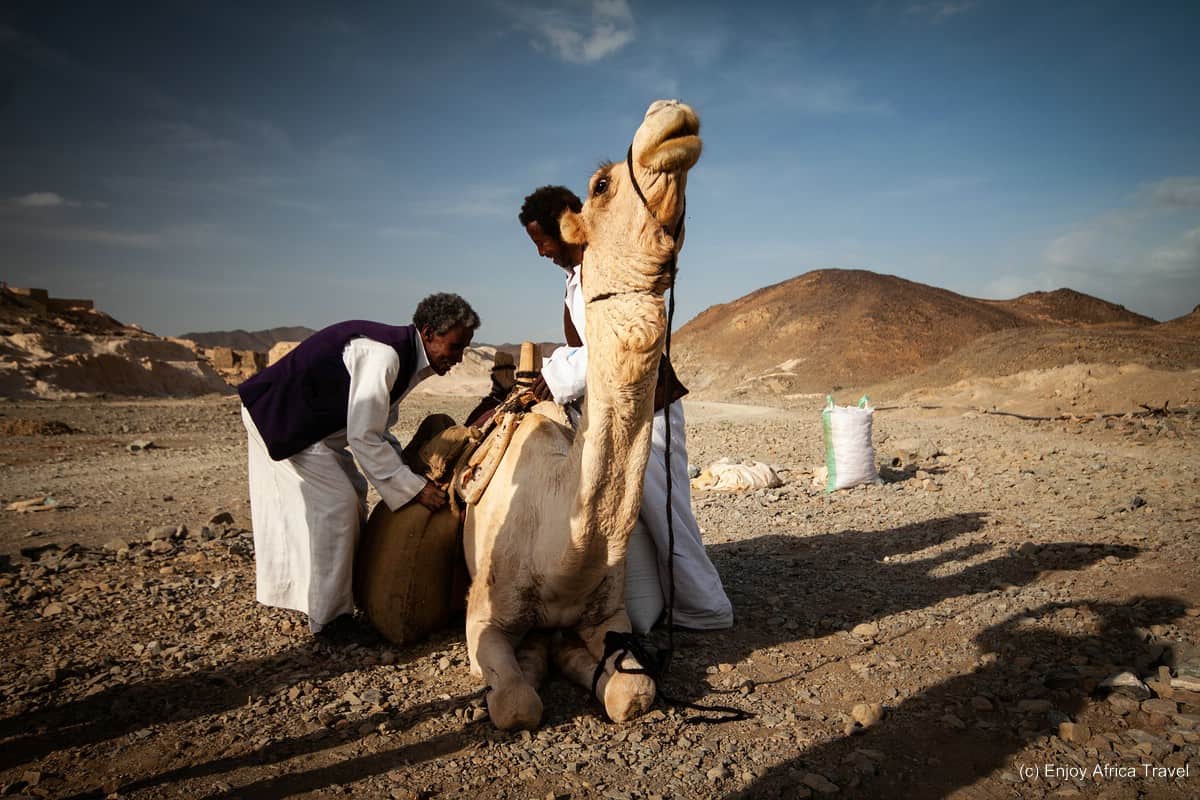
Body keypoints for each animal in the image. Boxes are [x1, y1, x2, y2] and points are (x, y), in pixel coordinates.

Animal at [460, 97, 700, 729]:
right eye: (601, 184)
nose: (668, 112)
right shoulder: (482, 616)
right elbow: (517, 703)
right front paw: (525, 672)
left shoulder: (608, 618)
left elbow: (634, 690)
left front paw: (568, 661)